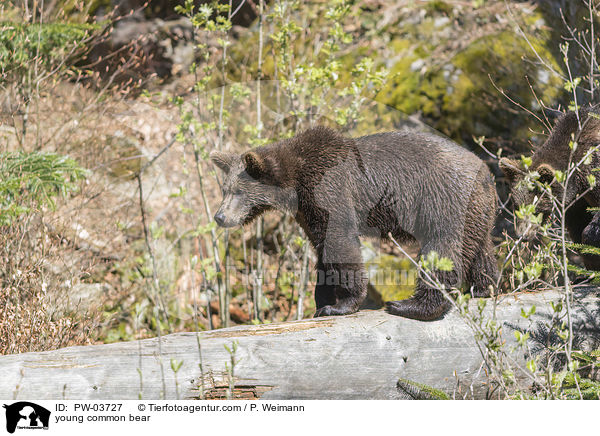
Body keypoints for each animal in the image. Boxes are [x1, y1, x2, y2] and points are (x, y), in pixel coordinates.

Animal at [210, 126, 496, 320]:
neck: (296, 182)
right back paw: (484, 288)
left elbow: (341, 243)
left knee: (442, 251)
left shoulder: (330, 189)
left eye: (238, 192)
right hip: (477, 212)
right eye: (224, 190)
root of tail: (485, 171)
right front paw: (321, 301)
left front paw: (339, 305)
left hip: (444, 199)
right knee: (480, 248)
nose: (220, 217)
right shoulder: (308, 212)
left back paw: (409, 305)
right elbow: (322, 249)